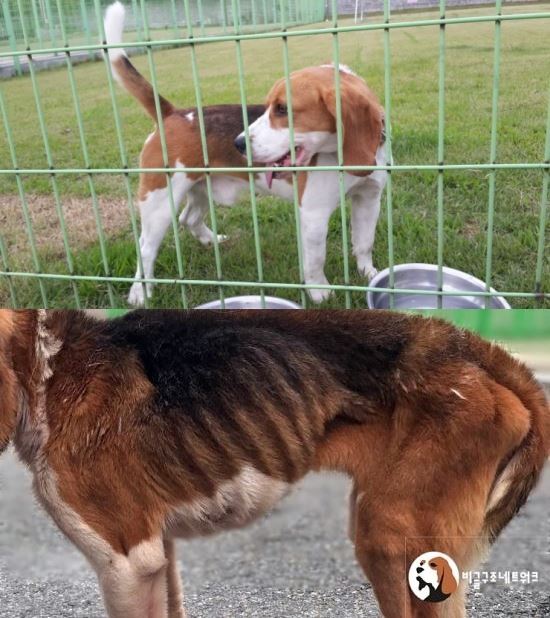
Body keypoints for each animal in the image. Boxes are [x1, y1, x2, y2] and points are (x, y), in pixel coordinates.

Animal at [103, 1, 388, 306]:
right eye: (268, 107)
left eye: (282, 109)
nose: (238, 143)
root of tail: (172, 114)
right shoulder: (314, 214)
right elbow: (315, 260)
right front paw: (319, 292)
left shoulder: (369, 199)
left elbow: (364, 243)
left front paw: (369, 274)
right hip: (160, 201)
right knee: (145, 248)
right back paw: (139, 293)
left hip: (199, 188)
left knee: (188, 219)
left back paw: (211, 241)